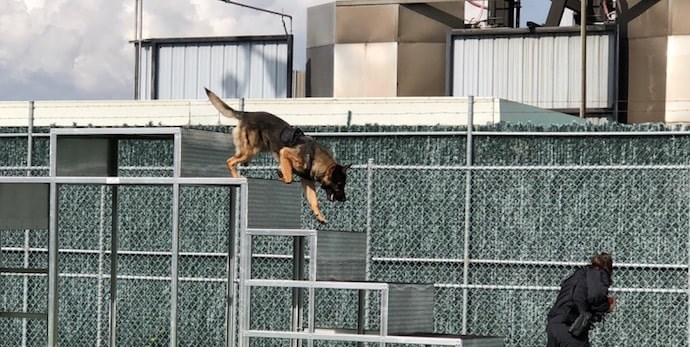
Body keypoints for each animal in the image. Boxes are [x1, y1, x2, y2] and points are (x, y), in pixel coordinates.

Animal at [202, 88, 346, 224]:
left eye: (343, 184)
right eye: (339, 184)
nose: (345, 199)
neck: (315, 157)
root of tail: (246, 114)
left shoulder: (307, 181)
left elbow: (314, 201)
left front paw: (320, 216)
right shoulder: (285, 152)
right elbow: (289, 178)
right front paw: (282, 175)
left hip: (252, 151)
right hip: (251, 151)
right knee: (230, 161)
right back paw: (237, 178)